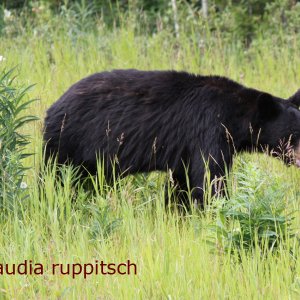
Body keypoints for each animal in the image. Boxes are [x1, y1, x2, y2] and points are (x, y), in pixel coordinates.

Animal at [42, 69, 300, 207]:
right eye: (295, 135)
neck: (235, 115)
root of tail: (53, 106)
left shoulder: (186, 151)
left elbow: (182, 183)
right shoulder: (208, 130)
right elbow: (209, 178)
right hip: (69, 142)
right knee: (55, 178)